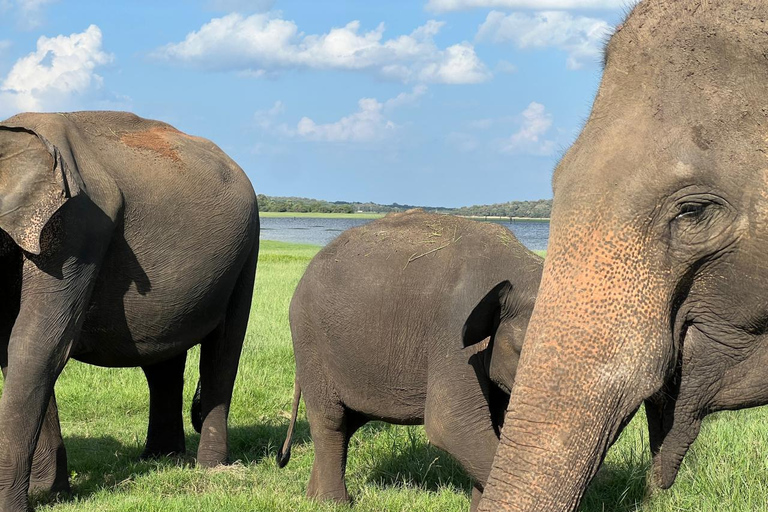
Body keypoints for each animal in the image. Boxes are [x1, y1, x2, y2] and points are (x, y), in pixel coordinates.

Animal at [0, 112, 260, 512]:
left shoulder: (79, 228)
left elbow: (37, 347)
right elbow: (11, 351)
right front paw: (52, 493)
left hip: (247, 249)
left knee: (222, 352)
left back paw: (210, 469)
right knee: (164, 361)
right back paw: (162, 458)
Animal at [276, 210, 540, 510]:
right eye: (522, 351)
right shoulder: (454, 331)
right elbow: (452, 425)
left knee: (349, 422)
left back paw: (314, 498)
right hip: (310, 338)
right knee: (330, 420)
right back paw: (334, 504)